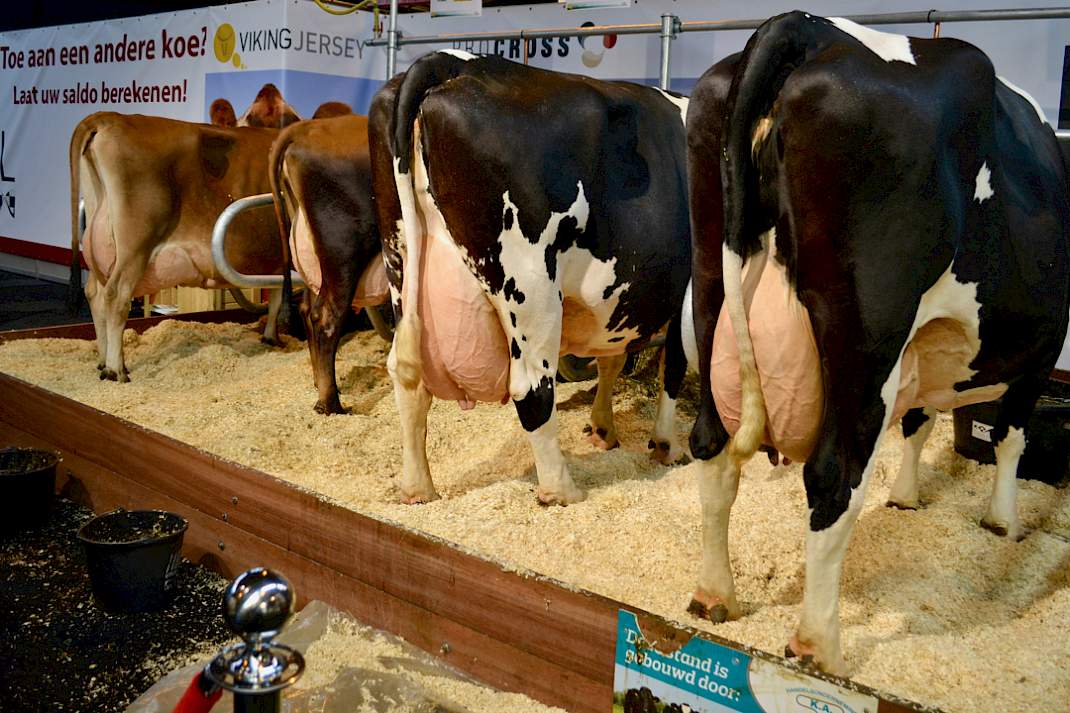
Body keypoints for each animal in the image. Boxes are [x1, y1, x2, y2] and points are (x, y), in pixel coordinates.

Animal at [68, 114, 288, 381]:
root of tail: (111, 118)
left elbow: (276, 296)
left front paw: (271, 336)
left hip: (102, 250)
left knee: (94, 293)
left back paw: (103, 361)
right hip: (135, 247)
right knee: (116, 295)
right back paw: (115, 369)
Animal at [368, 51, 692, 505]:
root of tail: (452, 62)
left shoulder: (615, 298)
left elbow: (612, 358)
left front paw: (603, 428)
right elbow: (673, 365)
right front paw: (667, 445)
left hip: (400, 260)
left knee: (407, 377)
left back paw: (418, 489)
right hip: (531, 287)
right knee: (532, 388)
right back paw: (562, 489)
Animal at [685, 12, 1070, 675]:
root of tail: (804, 24)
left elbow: (918, 422)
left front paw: (907, 496)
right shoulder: (1045, 347)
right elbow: (1011, 437)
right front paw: (1002, 521)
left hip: (712, 287)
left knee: (711, 447)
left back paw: (716, 596)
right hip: (866, 332)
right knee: (833, 478)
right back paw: (819, 648)